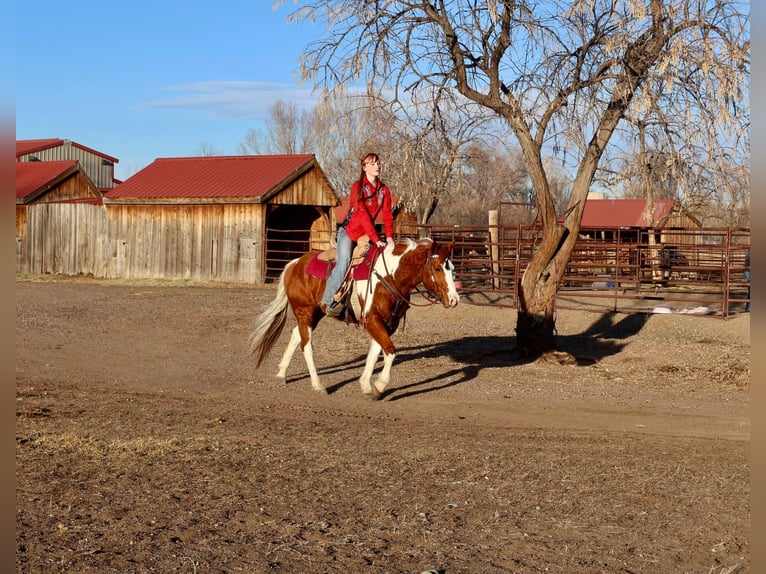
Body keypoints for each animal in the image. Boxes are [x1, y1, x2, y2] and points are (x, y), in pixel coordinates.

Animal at [249, 237, 460, 400]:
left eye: (452, 268)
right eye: (437, 268)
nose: (454, 299)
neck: (390, 276)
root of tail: (294, 264)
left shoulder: (387, 324)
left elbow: (375, 353)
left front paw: (367, 386)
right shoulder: (373, 320)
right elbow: (390, 352)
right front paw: (379, 386)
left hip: (316, 313)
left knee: (295, 335)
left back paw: (281, 373)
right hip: (305, 311)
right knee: (306, 346)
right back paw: (318, 385)